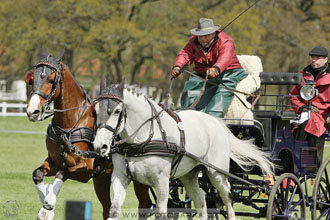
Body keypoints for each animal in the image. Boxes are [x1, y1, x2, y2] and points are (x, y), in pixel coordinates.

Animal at [26, 48, 151, 220]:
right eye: (32, 79)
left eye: (51, 80)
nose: (32, 111)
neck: (69, 125)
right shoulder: (54, 161)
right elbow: (37, 174)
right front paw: (44, 193)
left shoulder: (85, 167)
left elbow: (62, 173)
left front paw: (48, 203)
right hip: (102, 180)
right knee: (107, 208)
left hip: (140, 179)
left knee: (145, 205)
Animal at [91, 79, 274, 220]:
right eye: (95, 111)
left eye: (117, 111)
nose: (100, 146)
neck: (141, 139)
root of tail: (216, 121)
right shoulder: (120, 176)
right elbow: (114, 210)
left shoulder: (162, 181)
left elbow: (161, 213)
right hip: (189, 175)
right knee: (201, 201)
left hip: (217, 173)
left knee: (227, 197)